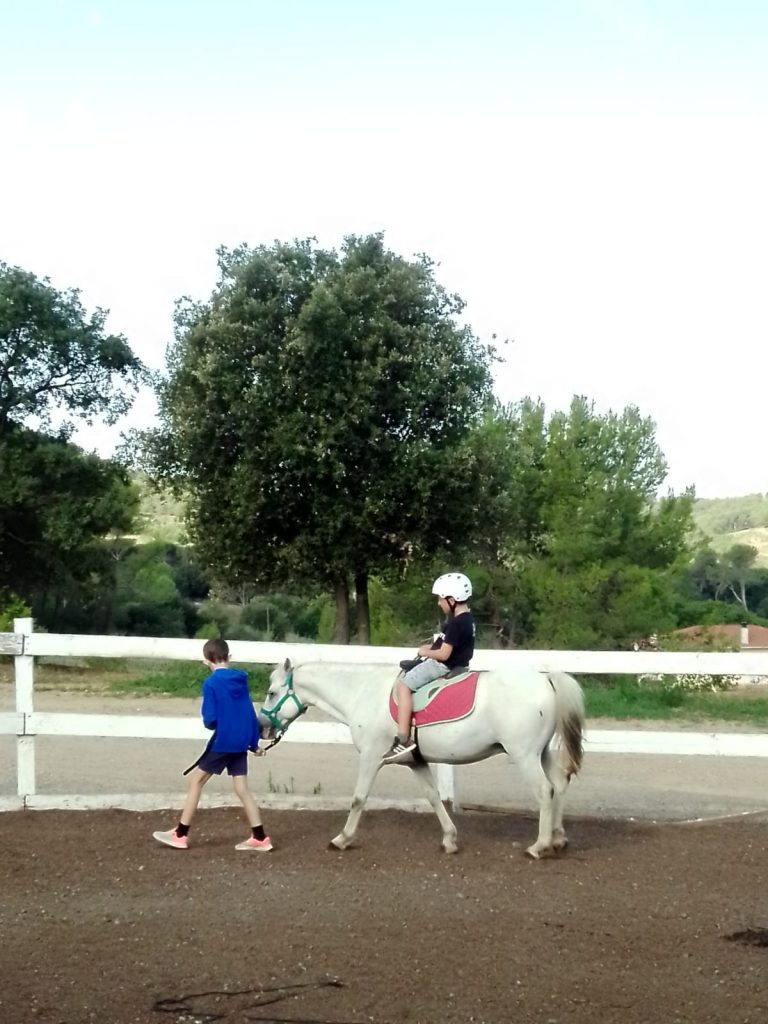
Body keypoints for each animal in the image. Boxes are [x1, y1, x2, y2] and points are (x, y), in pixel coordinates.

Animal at [260, 658, 586, 859]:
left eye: (272, 692)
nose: (262, 726)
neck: (362, 692)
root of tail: (546, 680)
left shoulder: (371, 756)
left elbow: (358, 798)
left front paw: (342, 838)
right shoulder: (416, 762)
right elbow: (433, 797)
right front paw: (450, 840)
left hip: (524, 755)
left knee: (544, 790)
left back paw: (539, 845)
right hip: (540, 753)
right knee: (559, 784)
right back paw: (558, 839)